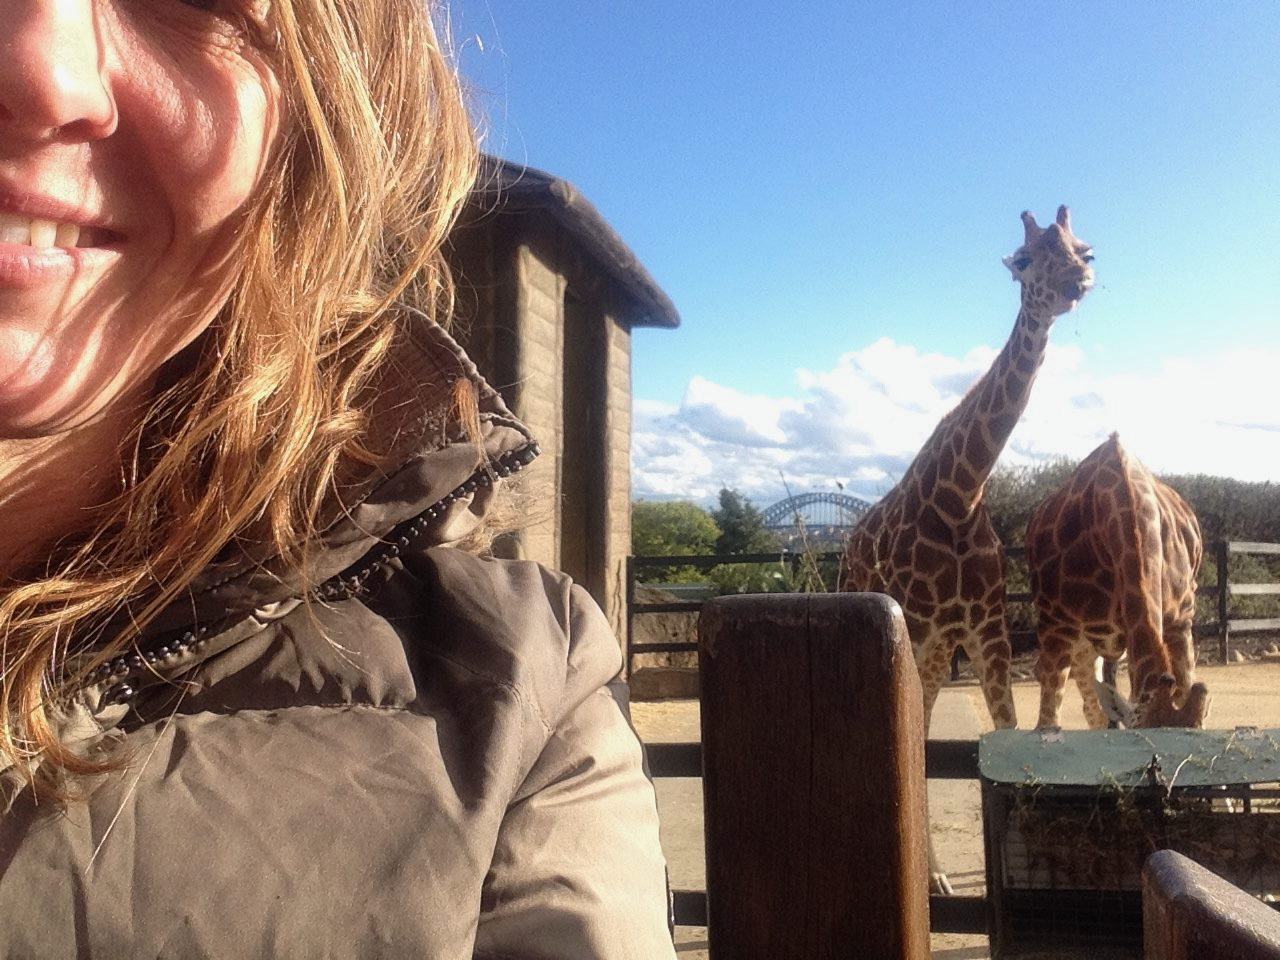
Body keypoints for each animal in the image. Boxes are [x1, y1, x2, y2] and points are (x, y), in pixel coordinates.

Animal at [844, 207, 1095, 901]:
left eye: (1084, 248)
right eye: (1025, 258)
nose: (1077, 281)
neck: (960, 494)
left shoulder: (988, 632)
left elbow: (1004, 736)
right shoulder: (920, 631)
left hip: (935, 654)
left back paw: (935, 877)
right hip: (903, 634)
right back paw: (930, 878)